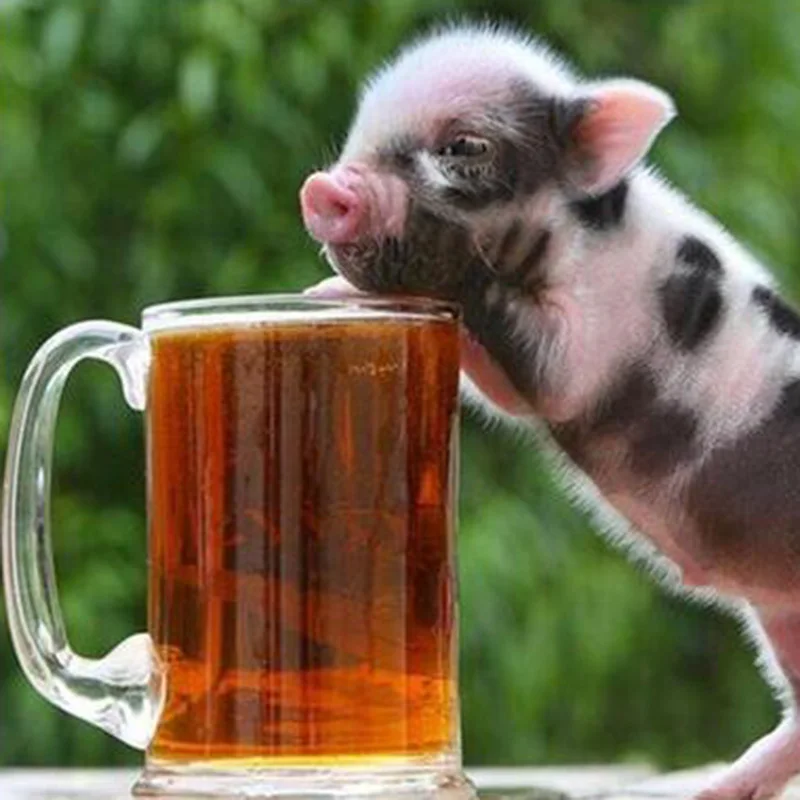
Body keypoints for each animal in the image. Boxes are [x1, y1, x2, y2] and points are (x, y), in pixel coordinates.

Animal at [299, 23, 800, 800]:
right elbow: (496, 381)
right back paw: (718, 789)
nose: (322, 187)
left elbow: (515, 334)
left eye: (464, 147)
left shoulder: (585, 345)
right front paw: (321, 297)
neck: (566, 241)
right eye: (360, 133)